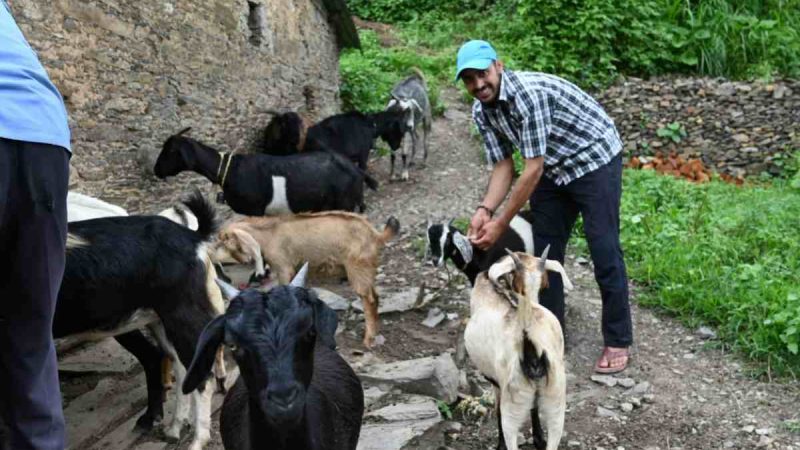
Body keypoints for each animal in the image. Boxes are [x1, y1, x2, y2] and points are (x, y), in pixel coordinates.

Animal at [58, 193, 223, 450]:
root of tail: (194, 237)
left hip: (182, 312)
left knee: (200, 373)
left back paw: (196, 440)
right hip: (161, 319)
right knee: (181, 365)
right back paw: (173, 428)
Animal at [155, 128, 380, 216]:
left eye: (170, 150)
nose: (156, 170)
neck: (229, 169)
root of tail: (355, 169)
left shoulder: (255, 210)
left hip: (345, 203)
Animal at [212, 212, 400, 348]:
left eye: (224, 240)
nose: (211, 254)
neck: (268, 235)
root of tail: (375, 235)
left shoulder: (283, 268)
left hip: (358, 268)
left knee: (369, 301)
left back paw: (368, 340)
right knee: (375, 297)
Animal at [466, 246, 572, 450]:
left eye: (543, 285)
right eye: (520, 284)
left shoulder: (495, 381)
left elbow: (497, 411)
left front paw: (500, 444)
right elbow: (534, 407)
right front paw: (538, 439)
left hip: (513, 401)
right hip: (556, 399)